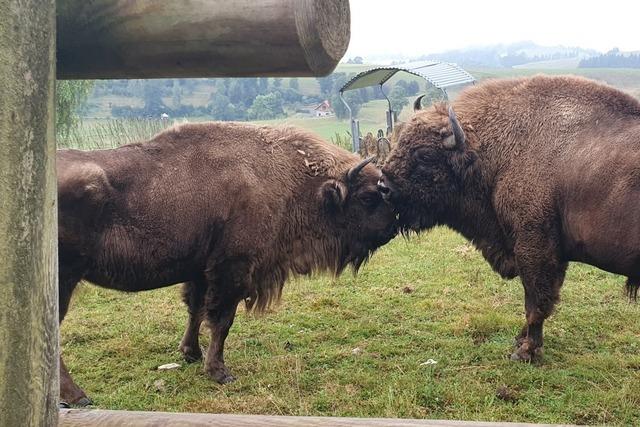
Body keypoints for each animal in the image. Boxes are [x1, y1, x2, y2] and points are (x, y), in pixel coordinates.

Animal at [57, 122, 398, 406]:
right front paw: (219, 372)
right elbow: (221, 321)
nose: (393, 227)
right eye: (368, 197)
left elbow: (195, 311)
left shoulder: (200, 270)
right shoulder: (233, 269)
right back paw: (78, 397)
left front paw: (191, 354)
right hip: (62, 281)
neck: (288, 177)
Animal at [378, 75, 640, 362]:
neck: (488, 153)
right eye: (399, 142)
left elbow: (536, 302)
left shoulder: (533, 248)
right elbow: (543, 298)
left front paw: (526, 351)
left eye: (425, 155)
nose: (383, 187)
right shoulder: (552, 254)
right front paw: (521, 340)